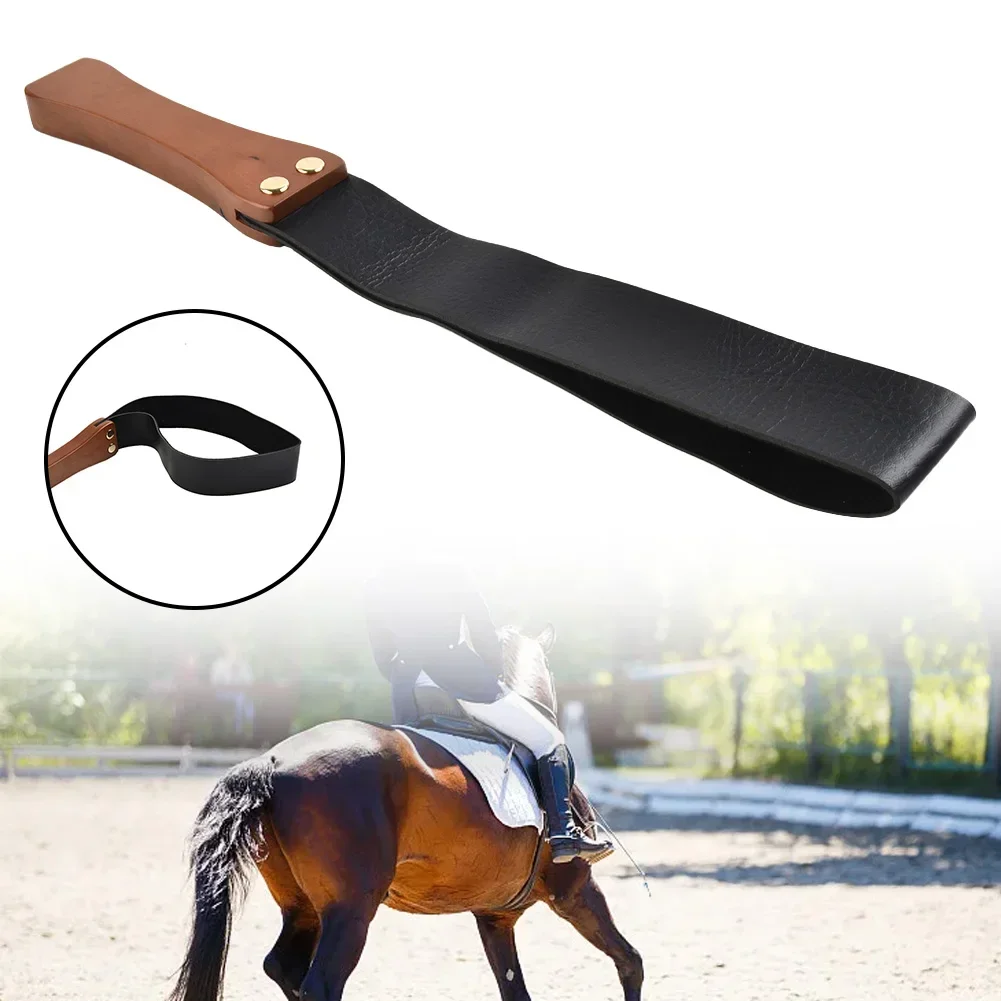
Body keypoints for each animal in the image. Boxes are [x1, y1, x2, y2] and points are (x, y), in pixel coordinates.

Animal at [167, 625, 644, 1001]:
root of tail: (270, 761)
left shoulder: (495, 915)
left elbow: (516, 991)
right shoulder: (575, 890)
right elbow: (630, 961)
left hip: (301, 904)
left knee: (284, 967)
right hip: (351, 907)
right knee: (320, 983)